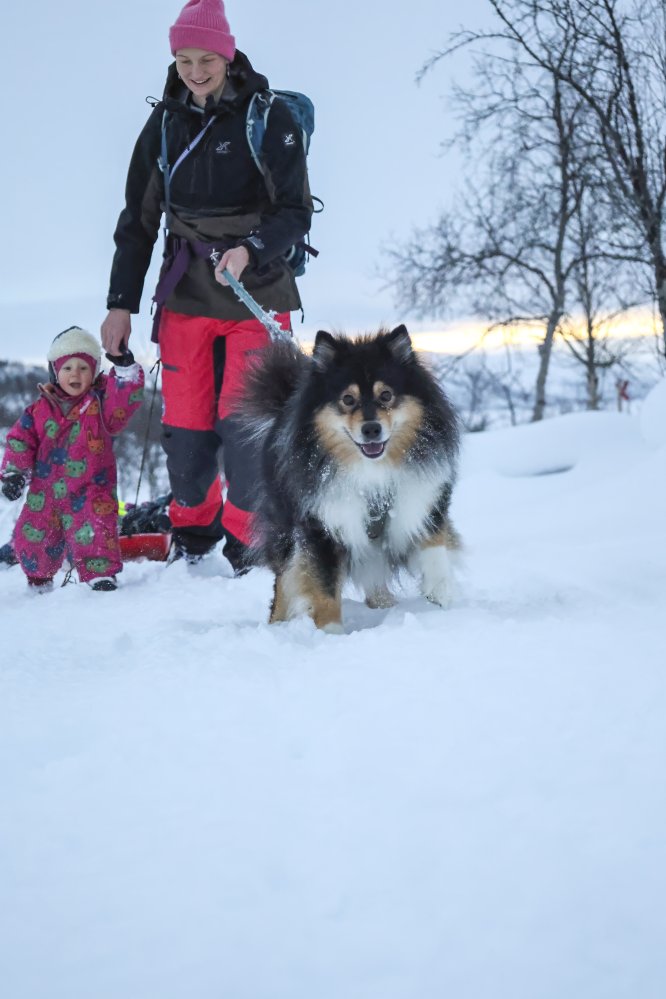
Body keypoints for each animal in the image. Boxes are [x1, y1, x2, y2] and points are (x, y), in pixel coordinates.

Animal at [240, 328, 462, 632]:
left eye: (386, 395)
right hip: (285, 528)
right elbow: (324, 589)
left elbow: (435, 545)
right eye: (347, 399)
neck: (372, 470)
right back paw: (275, 626)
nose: (371, 429)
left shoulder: (424, 499)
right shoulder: (320, 527)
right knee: (283, 582)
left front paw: (440, 591)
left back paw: (385, 605)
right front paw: (331, 633)